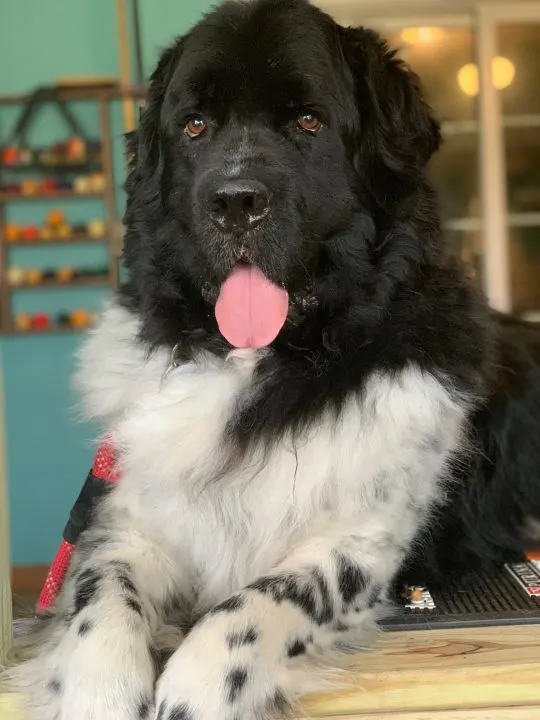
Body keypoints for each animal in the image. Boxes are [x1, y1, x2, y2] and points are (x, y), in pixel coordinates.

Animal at [7, 1, 540, 720]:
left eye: (307, 121)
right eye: (195, 125)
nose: (235, 201)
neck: (261, 366)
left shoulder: (363, 541)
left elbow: (260, 602)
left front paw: (195, 690)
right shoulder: (133, 525)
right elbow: (101, 593)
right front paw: (98, 688)